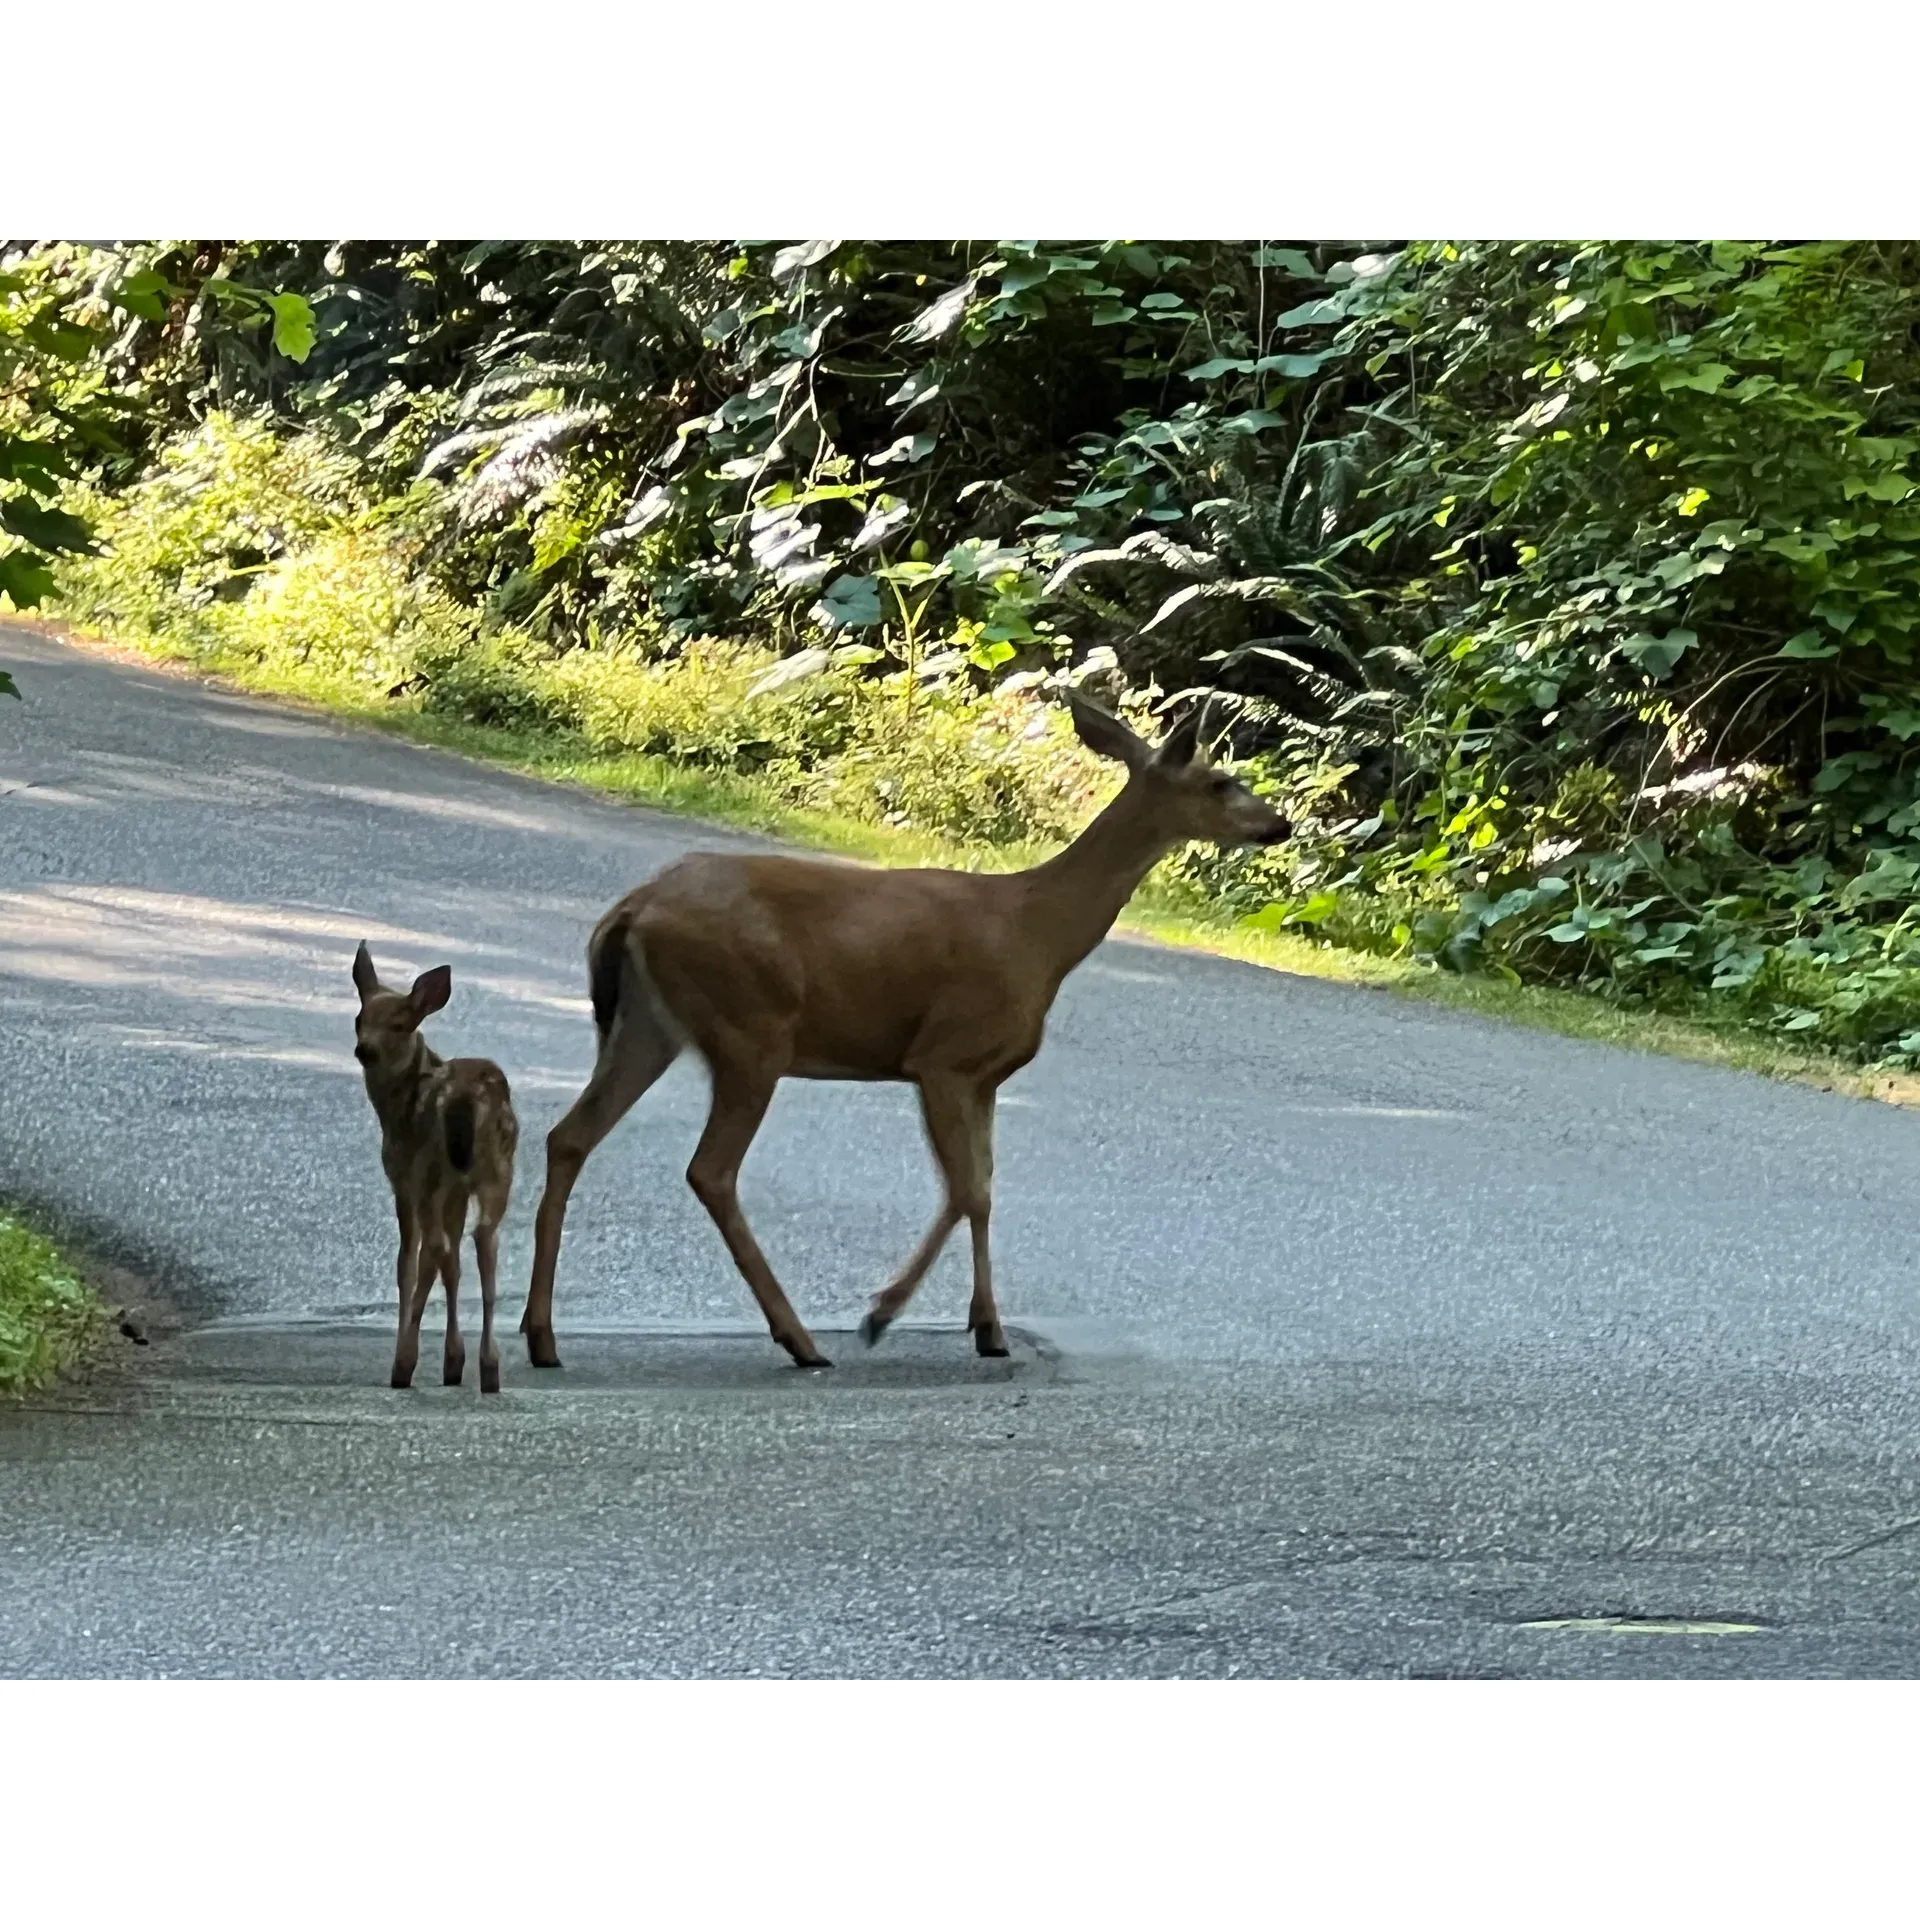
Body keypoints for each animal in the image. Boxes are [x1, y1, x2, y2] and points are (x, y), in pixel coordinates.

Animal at [522, 691, 1290, 1367]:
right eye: (1221, 781)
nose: (1278, 825)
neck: (1038, 931)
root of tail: (634, 908)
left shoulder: (985, 1077)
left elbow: (985, 1188)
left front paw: (989, 1328)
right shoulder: (942, 1057)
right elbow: (966, 1190)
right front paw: (883, 1314)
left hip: (648, 1026)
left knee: (570, 1136)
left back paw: (543, 1337)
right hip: (751, 1028)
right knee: (709, 1169)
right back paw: (800, 1340)